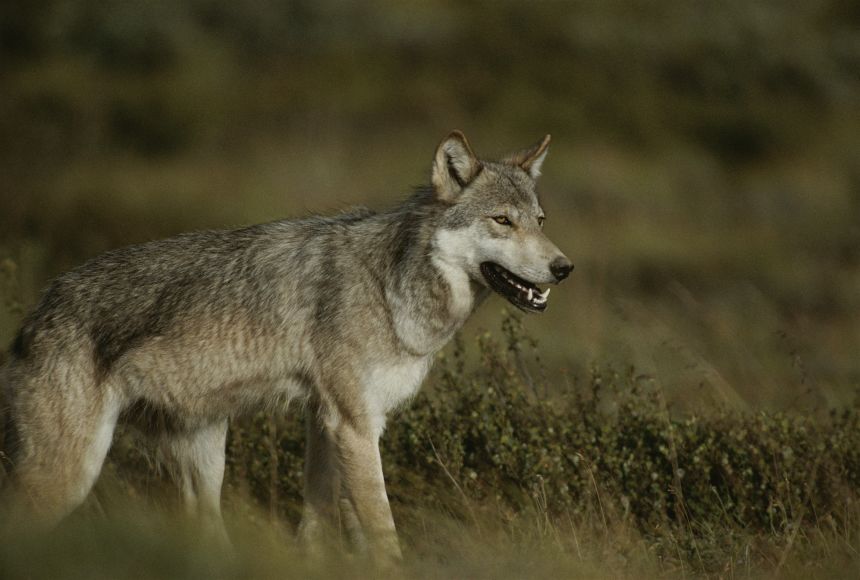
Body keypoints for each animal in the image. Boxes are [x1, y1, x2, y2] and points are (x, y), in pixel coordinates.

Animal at [3, 130, 576, 560]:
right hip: (68, 475)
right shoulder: (355, 424)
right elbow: (383, 531)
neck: (390, 287)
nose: (563, 268)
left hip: (205, 460)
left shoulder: (327, 423)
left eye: (540, 221)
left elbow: (319, 519)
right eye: (502, 220)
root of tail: (36, 312)